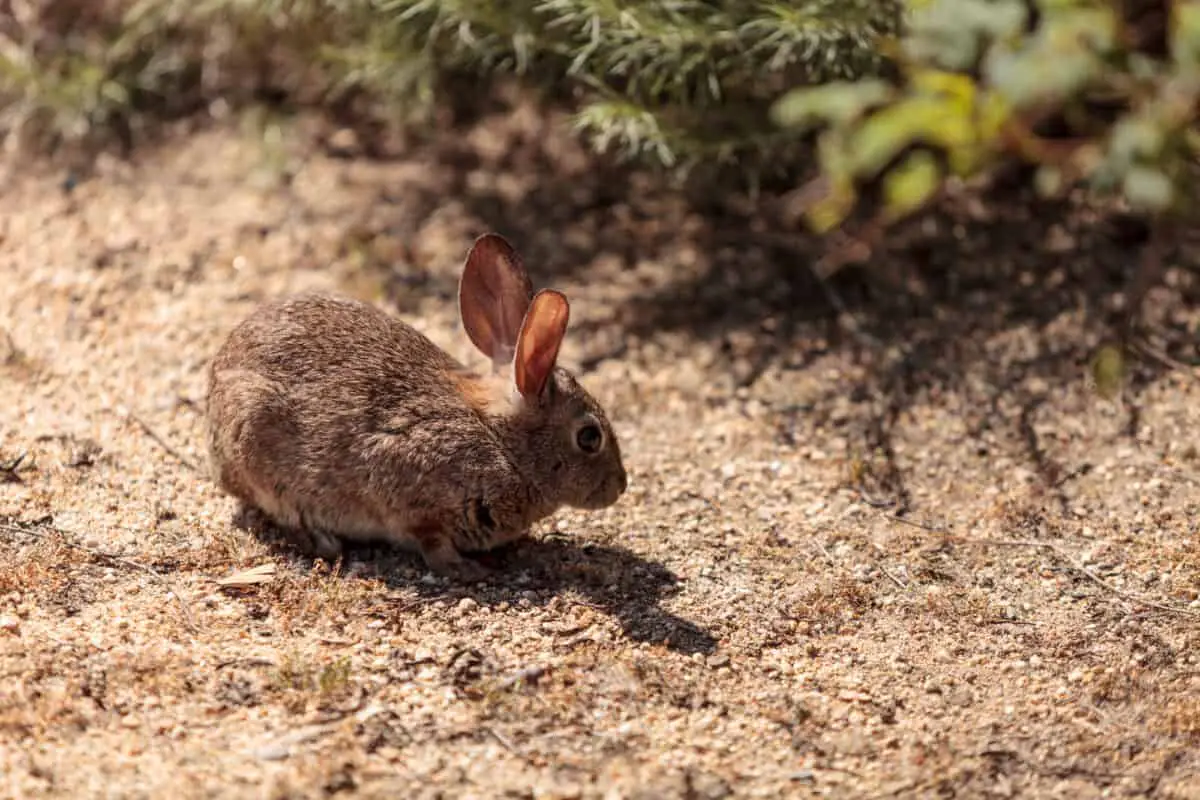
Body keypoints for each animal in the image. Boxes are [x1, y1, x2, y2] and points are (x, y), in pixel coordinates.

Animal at [204, 232, 628, 582]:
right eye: (589, 437)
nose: (620, 486)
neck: (502, 443)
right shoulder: (414, 495)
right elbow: (431, 543)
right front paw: (466, 568)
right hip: (254, 438)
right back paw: (322, 540)